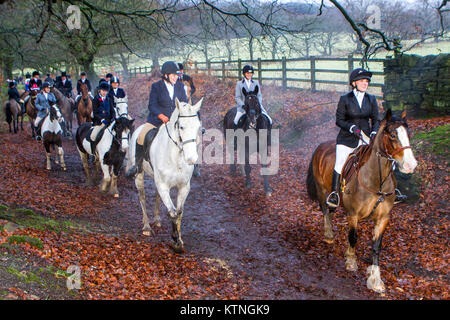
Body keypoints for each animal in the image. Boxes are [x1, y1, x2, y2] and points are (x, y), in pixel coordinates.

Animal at [127, 97, 203, 252]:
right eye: (181, 127)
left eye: (198, 127)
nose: (191, 158)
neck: (176, 157)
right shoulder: (163, 185)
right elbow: (172, 212)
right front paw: (175, 241)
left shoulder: (184, 187)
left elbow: (179, 212)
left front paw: (179, 239)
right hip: (139, 175)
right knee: (142, 197)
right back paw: (147, 227)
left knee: (157, 196)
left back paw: (157, 220)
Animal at [306, 109, 418, 292]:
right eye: (393, 135)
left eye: (408, 134)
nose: (410, 165)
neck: (376, 180)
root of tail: (321, 146)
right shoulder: (353, 214)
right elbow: (353, 237)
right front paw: (351, 262)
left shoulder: (383, 218)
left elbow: (376, 246)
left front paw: (376, 280)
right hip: (322, 189)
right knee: (324, 209)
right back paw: (328, 234)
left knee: (330, 210)